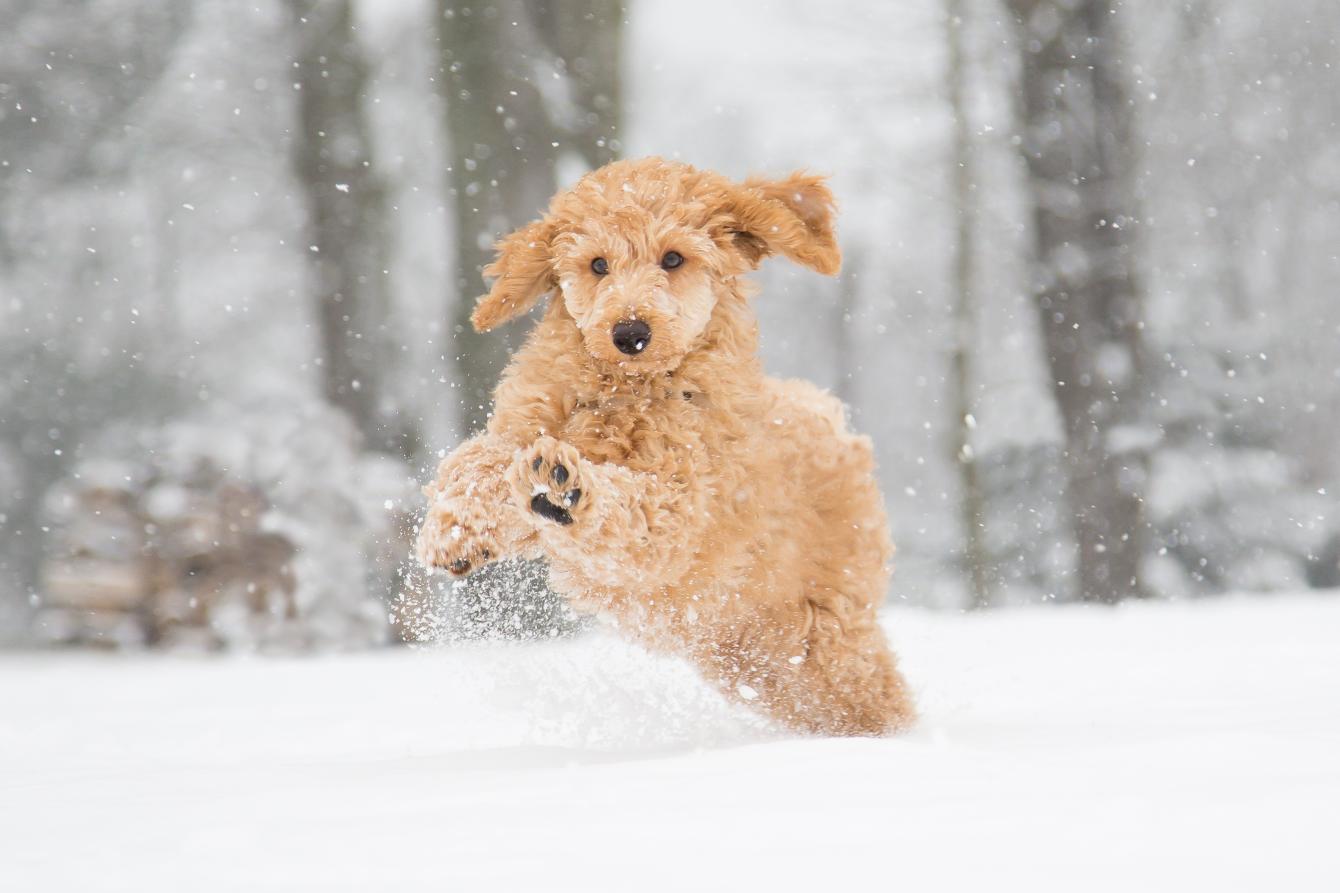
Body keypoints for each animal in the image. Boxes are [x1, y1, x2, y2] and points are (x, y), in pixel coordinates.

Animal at [418, 156, 916, 734]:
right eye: (598, 265)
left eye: (673, 258)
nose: (629, 332)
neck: (626, 392)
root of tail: (832, 420)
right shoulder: (526, 424)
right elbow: (476, 460)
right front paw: (452, 532)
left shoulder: (680, 510)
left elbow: (633, 508)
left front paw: (567, 488)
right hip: (750, 653)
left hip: (826, 630)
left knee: (873, 693)